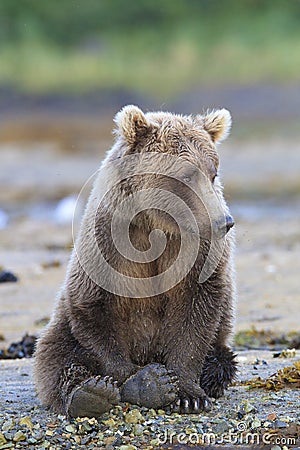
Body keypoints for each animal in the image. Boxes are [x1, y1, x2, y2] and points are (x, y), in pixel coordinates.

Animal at [34, 106, 237, 418]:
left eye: (213, 172)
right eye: (187, 175)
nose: (224, 222)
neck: (155, 227)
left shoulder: (198, 254)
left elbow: (196, 315)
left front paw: (187, 395)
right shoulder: (106, 247)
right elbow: (95, 313)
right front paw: (143, 381)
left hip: (221, 344)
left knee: (221, 361)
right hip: (62, 331)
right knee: (56, 359)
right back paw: (89, 393)